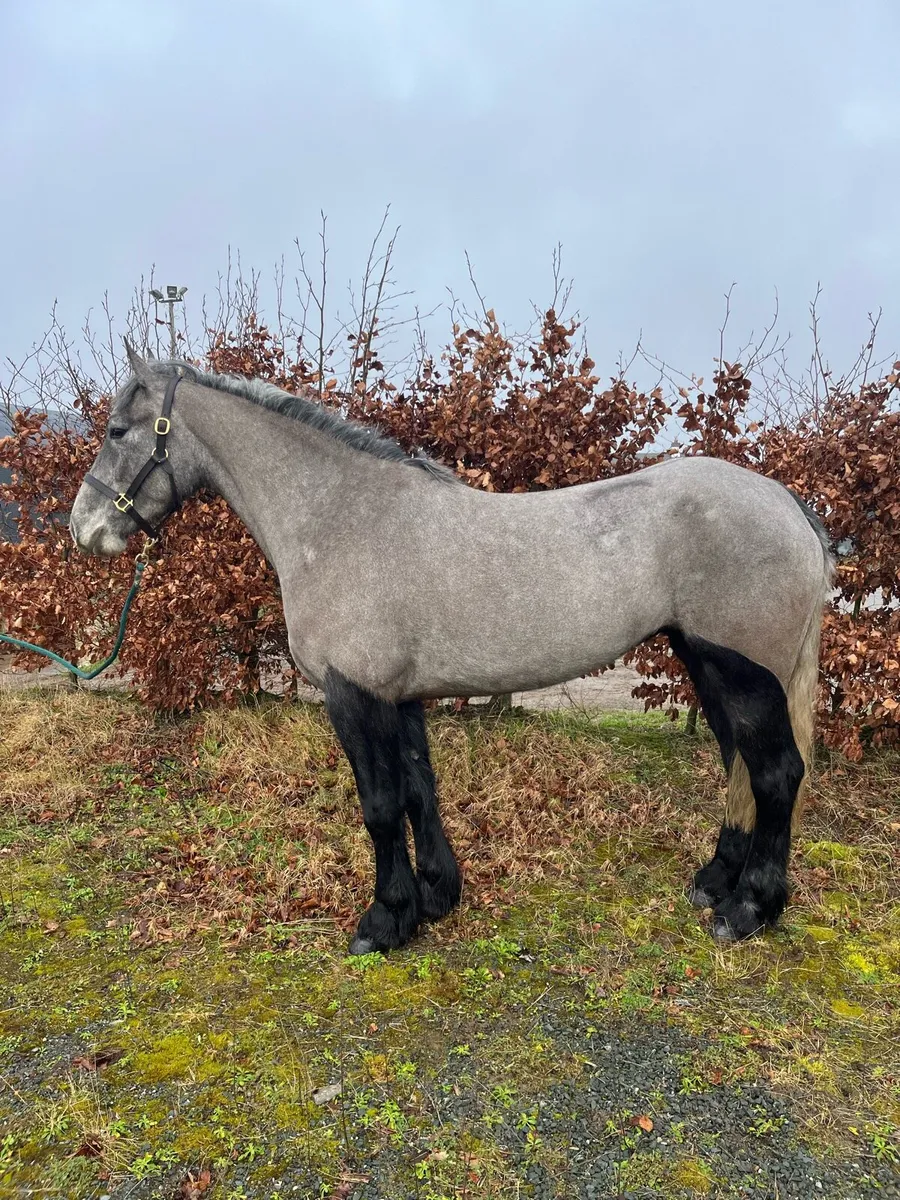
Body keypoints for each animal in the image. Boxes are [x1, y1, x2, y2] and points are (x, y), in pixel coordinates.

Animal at [70, 346, 834, 955]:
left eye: (117, 430)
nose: (84, 529)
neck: (340, 516)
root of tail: (789, 506)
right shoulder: (399, 696)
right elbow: (418, 791)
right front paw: (436, 898)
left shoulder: (354, 694)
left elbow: (380, 805)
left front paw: (384, 922)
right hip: (707, 663)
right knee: (740, 768)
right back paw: (715, 883)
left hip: (744, 671)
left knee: (775, 775)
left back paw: (749, 909)